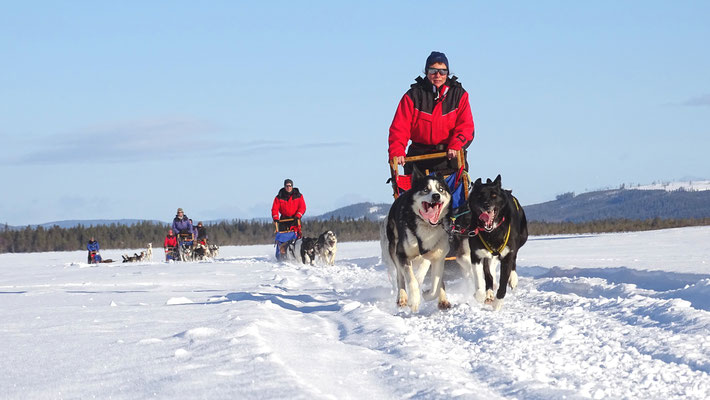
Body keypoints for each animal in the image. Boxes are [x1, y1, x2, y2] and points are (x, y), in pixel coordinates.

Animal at [382, 169, 454, 312]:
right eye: (426, 189)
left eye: (441, 189)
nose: (436, 196)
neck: (427, 227)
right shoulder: (402, 254)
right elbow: (411, 279)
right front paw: (414, 300)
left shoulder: (436, 256)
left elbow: (434, 284)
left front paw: (427, 294)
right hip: (393, 249)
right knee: (400, 277)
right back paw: (402, 297)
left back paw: (443, 300)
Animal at [458, 174, 532, 310]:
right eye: (479, 196)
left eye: (493, 195)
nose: (486, 205)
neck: (492, 232)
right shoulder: (476, 255)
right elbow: (480, 277)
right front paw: (480, 294)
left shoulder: (507, 255)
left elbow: (503, 282)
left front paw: (498, 302)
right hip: (489, 256)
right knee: (489, 274)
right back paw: (488, 293)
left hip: (521, 239)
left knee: (514, 258)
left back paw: (513, 279)